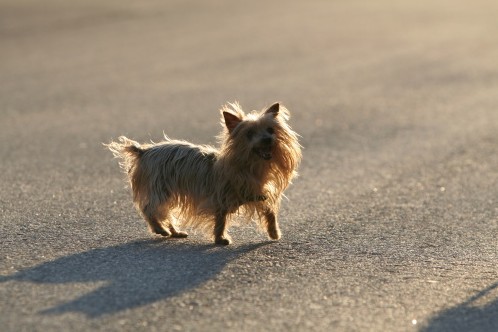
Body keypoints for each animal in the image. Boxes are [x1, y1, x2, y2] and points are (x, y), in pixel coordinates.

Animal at [107, 102, 302, 245]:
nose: (268, 139)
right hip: (160, 187)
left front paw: (274, 232)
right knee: (150, 208)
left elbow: (269, 211)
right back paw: (159, 229)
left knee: (166, 212)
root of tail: (144, 151)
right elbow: (220, 219)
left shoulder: (256, 192)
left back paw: (175, 232)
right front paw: (220, 239)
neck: (252, 165)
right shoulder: (221, 197)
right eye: (250, 133)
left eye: (271, 130)